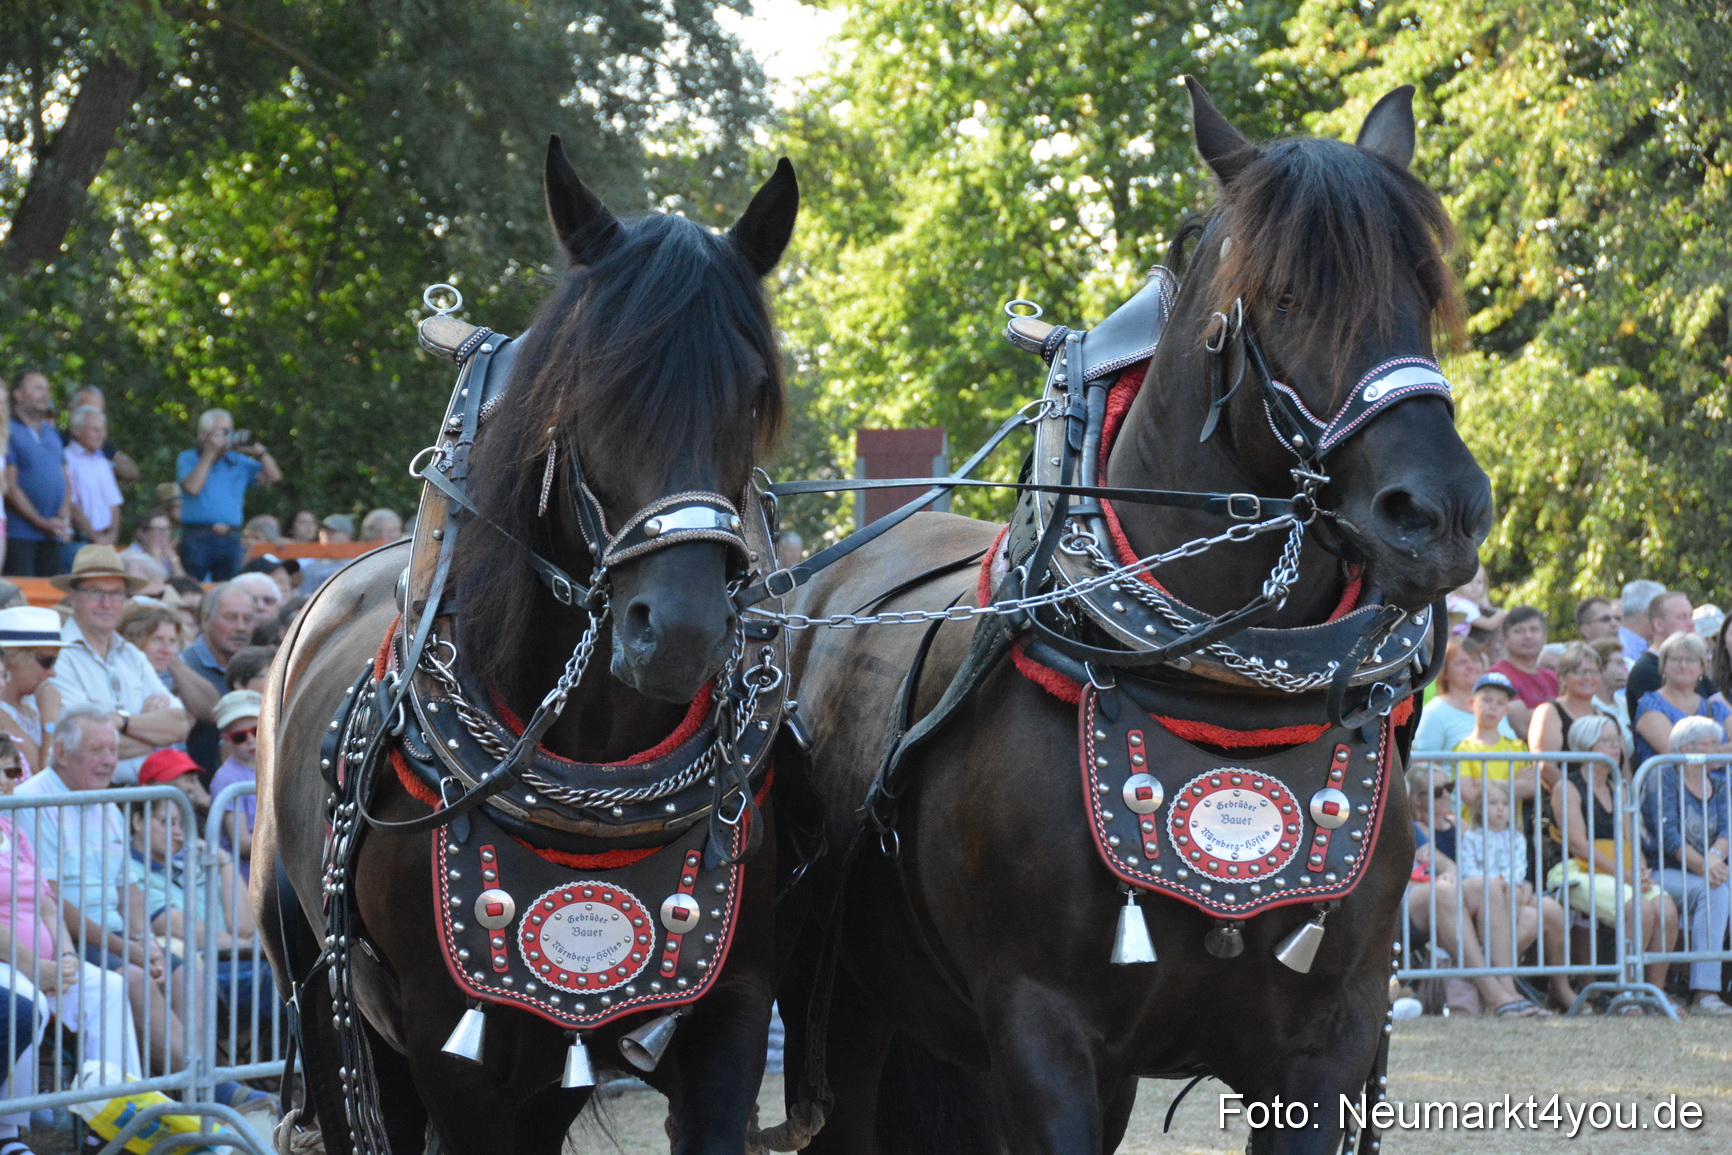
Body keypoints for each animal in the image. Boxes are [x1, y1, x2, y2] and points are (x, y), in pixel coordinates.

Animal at [253, 135, 799, 1155]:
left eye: (752, 396)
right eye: (593, 383)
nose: (681, 630)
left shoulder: (732, 1007)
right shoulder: (449, 1039)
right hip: (325, 997)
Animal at [773, 78, 1493, 1155]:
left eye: (1423, 290)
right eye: (1285, 293)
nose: (1441, 511)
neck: (1220, 694)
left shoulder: (1330, 1043)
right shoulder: (1043, 1037)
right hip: (854, 1020)